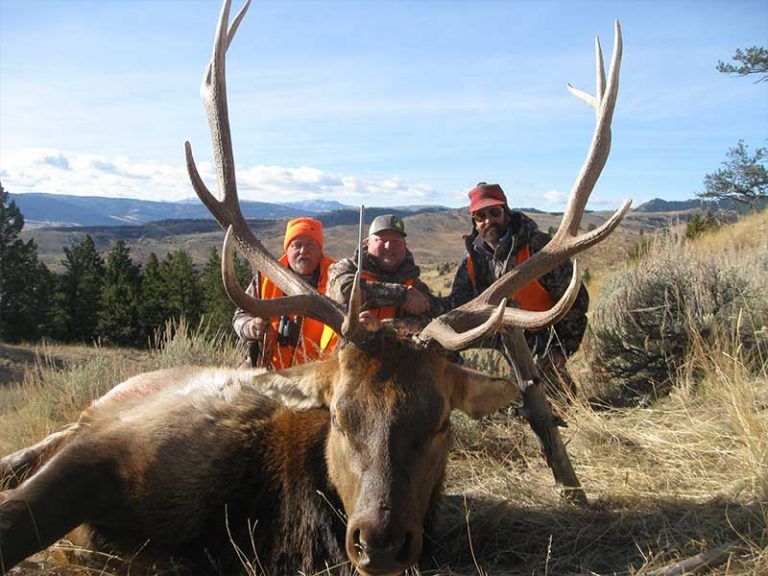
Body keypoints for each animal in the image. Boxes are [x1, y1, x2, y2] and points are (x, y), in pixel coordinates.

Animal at [0, 1, 629, 574]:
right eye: (339, 417)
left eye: (442, 423)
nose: (381, 541)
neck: (260, 516)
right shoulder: (106, 449)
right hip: (95, 412)